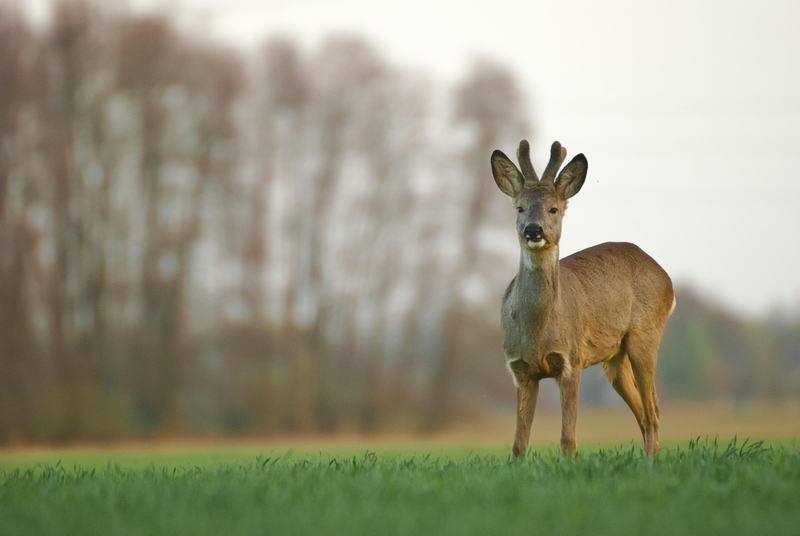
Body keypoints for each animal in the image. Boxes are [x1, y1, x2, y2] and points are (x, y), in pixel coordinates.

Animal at [494, 140, 676, 458]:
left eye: (554, 209)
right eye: (520, 207)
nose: (533, 229)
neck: (537, 331)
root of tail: (666, 279)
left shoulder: (571, 360)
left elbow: (568, 438)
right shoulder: (520, 369)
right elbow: (519, 444)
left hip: (645, 335)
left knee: (653, 409)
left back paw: (650, 463)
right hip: (615, 358)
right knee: (643, 413)